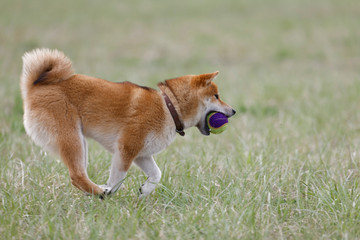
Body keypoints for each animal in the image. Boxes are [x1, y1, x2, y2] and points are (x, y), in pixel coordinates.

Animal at [21, 48, 236, 197]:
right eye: (217, 96)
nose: (233, 111)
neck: (169, 107)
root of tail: (35, 87)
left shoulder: (142, 154)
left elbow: (156, 174)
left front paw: (145, 191)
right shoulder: (126, 148)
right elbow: (118, 177)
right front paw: (110, 192)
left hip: (79, 140)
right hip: (72, 138)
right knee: (77, 176)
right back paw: (100, 192)